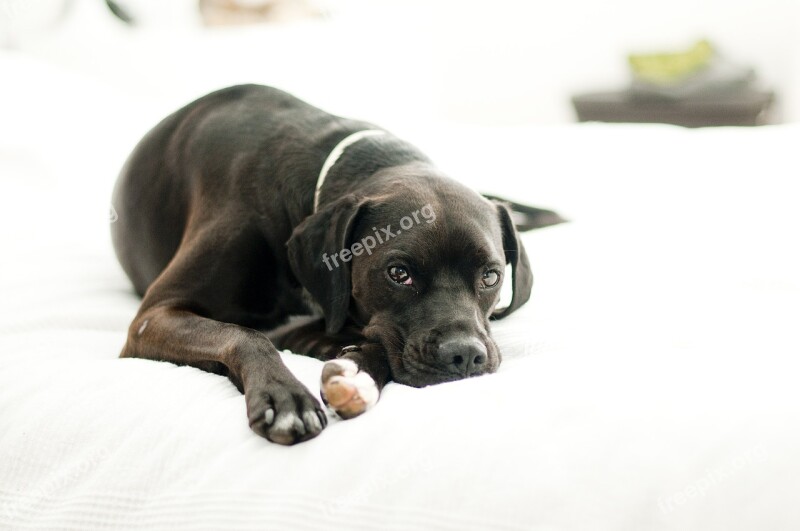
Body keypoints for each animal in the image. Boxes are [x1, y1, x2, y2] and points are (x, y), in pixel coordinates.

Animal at [111, 86, 564, 444]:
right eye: (398, 273)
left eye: (491, 276)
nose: (466, 356)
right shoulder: (153, 317)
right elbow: (243, 335)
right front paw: (284, 395)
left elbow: (371, 343)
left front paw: (355, 373)